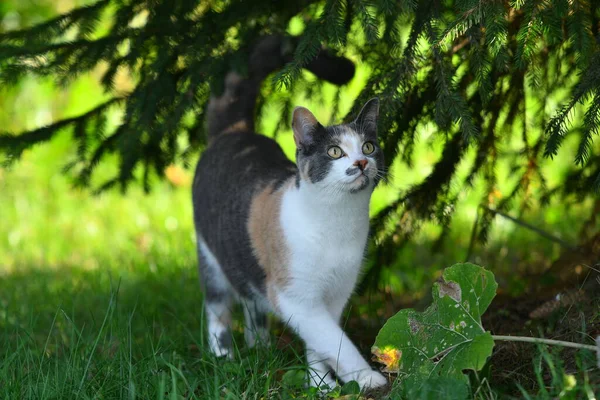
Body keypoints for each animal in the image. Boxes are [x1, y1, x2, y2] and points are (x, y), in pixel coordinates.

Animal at [193, 36, 390, 390]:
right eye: (334, 151)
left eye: (368, 147)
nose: (361, 163)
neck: (338, 224)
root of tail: (234, 131)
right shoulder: (295, 297)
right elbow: (335, 341)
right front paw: (365, 377)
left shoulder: (335, 294)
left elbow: (319, 344)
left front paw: (321, 385)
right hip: (210, 256)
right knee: (217, 308)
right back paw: (222, 356)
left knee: (251, 304)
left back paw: (260, 348)